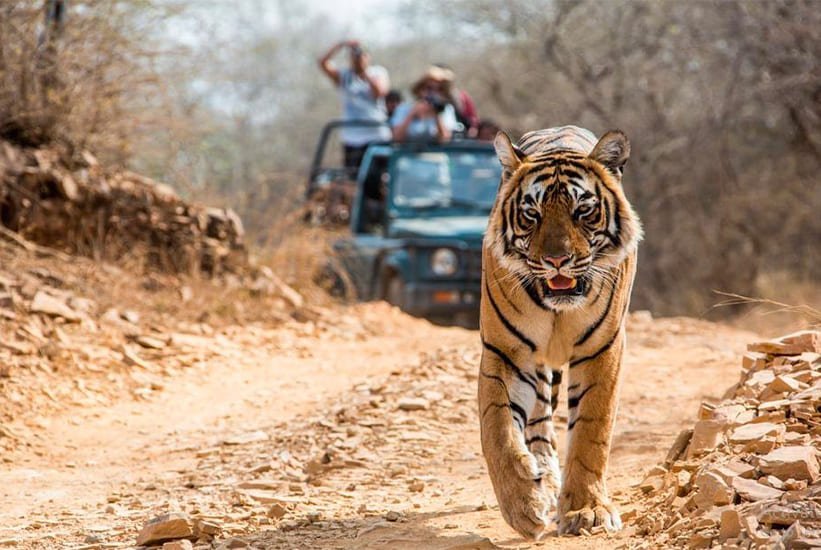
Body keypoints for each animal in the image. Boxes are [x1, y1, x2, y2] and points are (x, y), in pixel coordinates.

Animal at [478, 125, 642, 539]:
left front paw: (588, 511)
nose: (556, 260)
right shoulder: (505, 352)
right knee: (538, 423)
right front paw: (523, 504)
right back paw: (544, 478)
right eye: (531, 215)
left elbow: (590, 434)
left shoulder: (602, 350)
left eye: (582, 211)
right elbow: (497, 429)